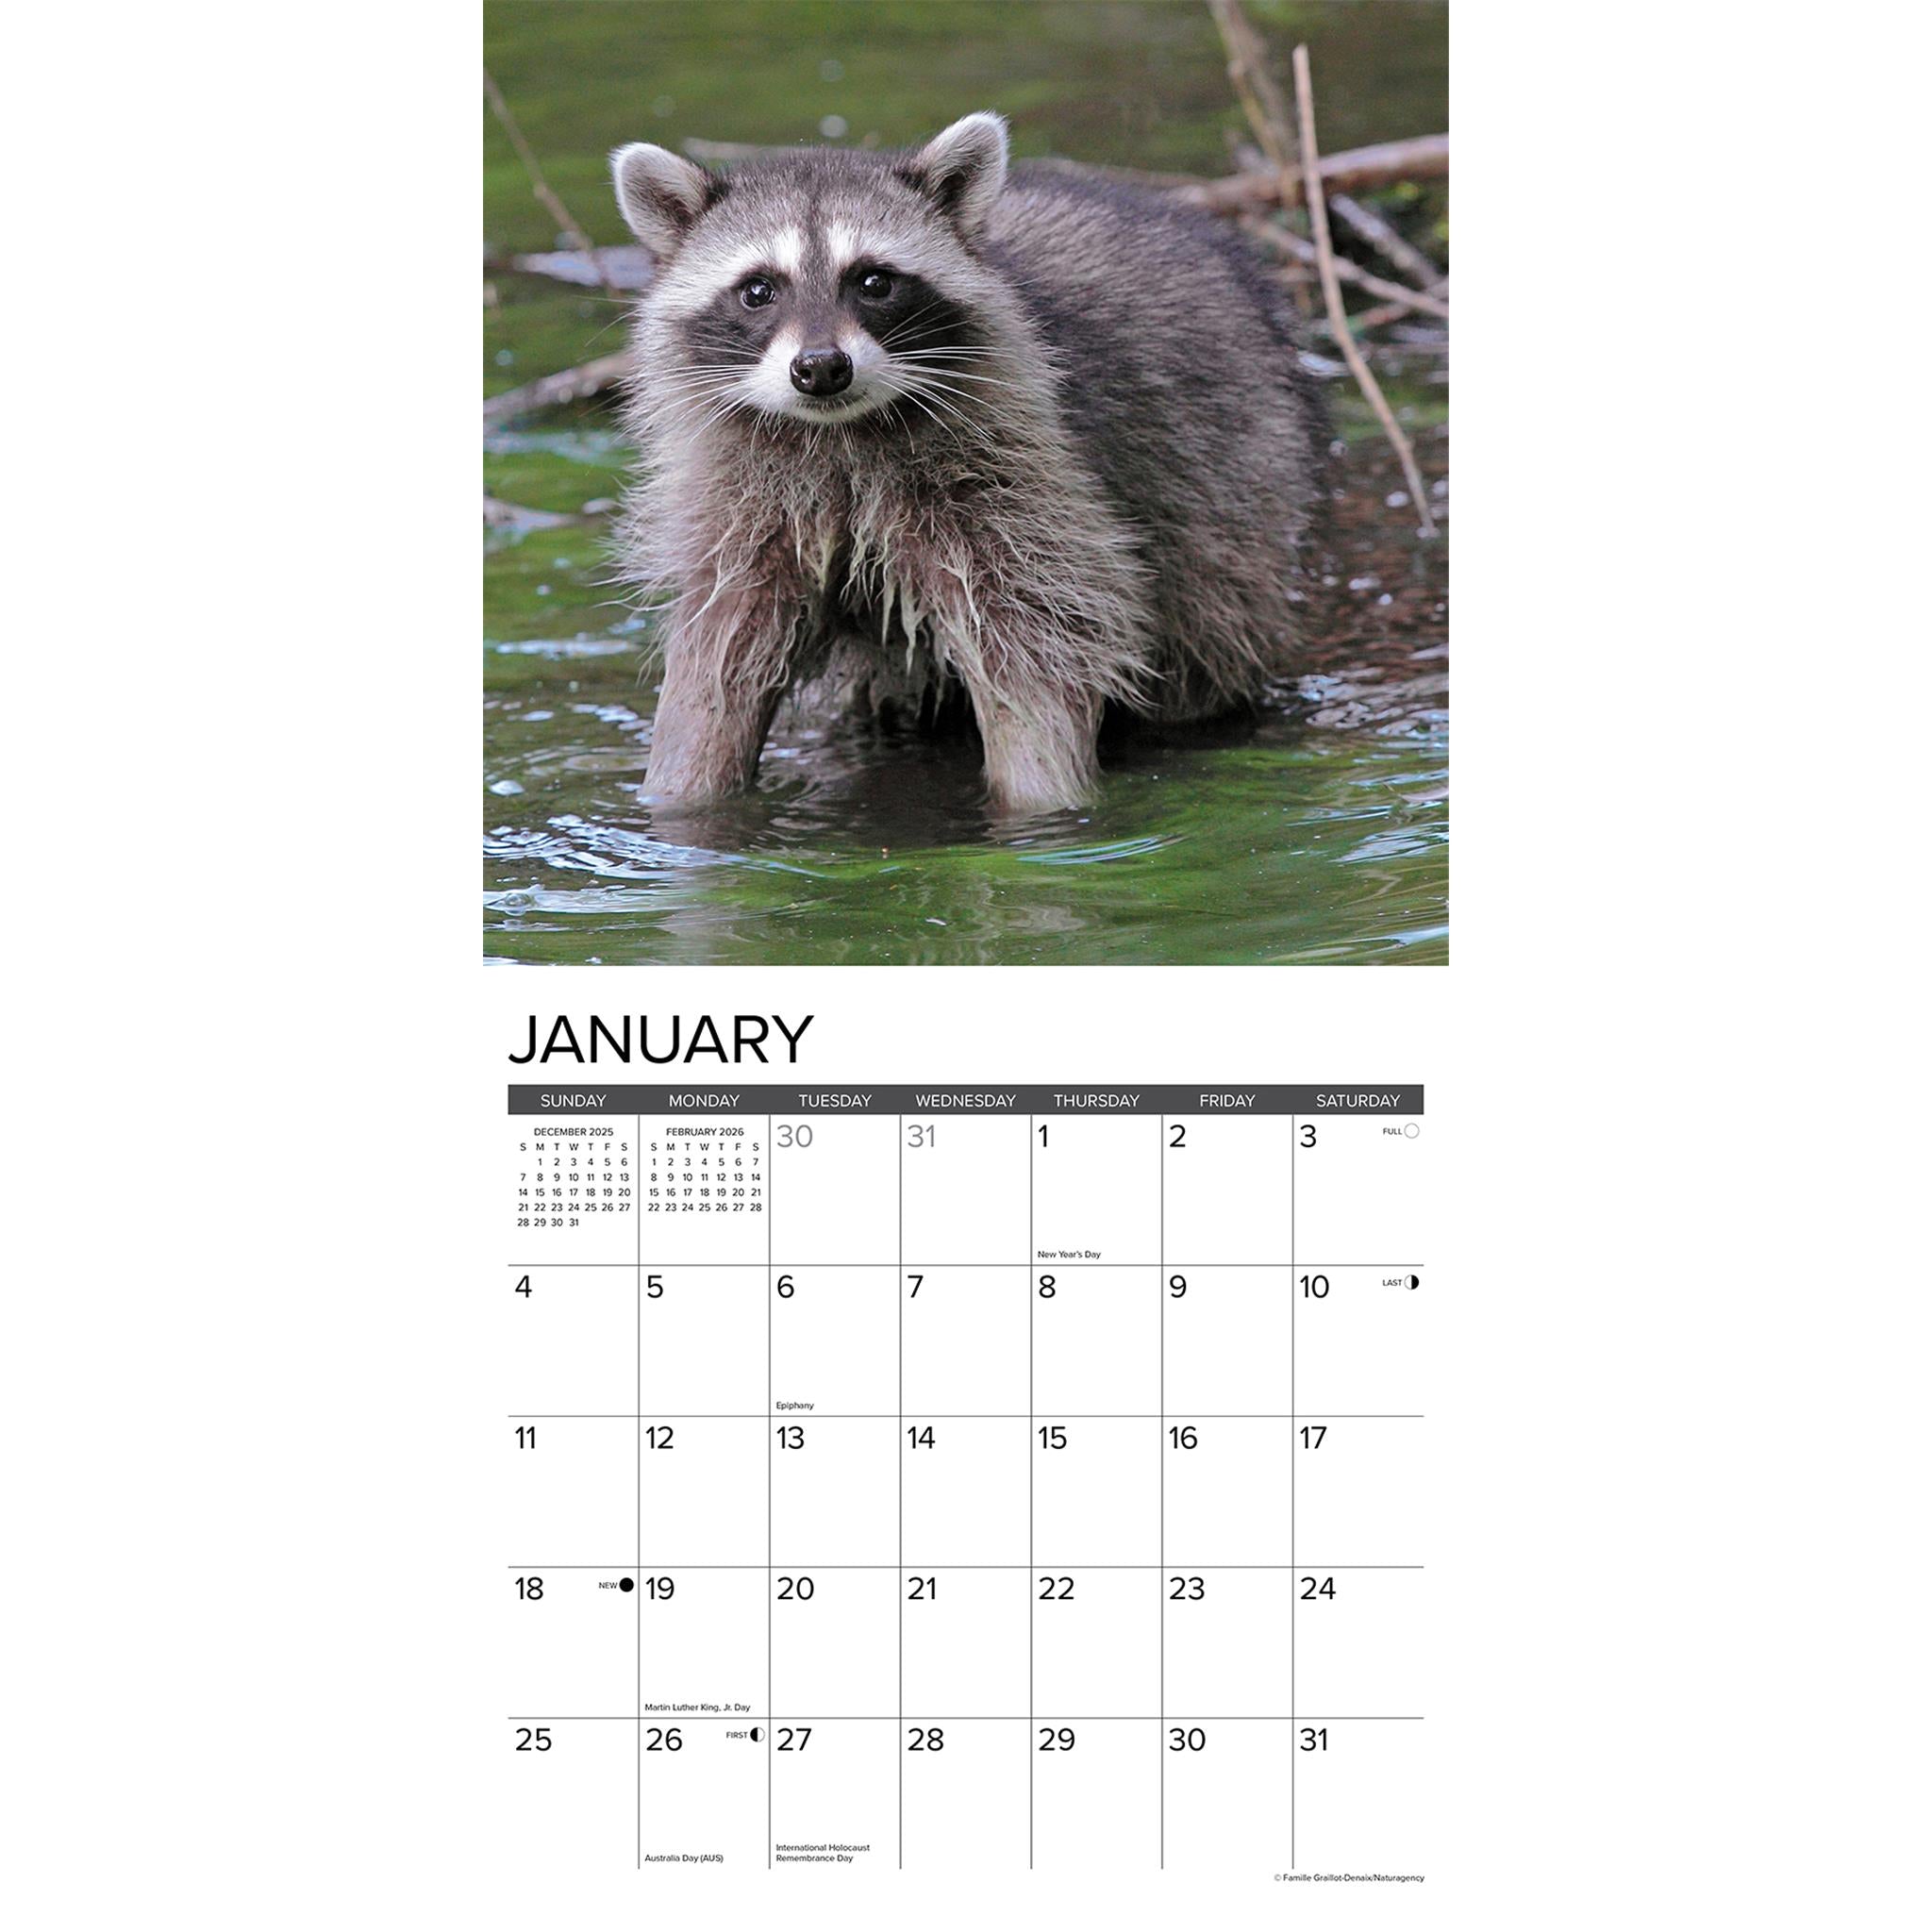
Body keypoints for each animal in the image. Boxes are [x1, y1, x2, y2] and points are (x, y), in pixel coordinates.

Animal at [609, 112, 1327, 814]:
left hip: (1234, 469)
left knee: (1210, 609)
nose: (821, 368)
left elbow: (1041, 637)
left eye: (873, 281)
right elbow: (720, 650)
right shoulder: (741, 510)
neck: (837, 437)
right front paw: (681, 792)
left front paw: (1044, 796)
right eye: (758, 290)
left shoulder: (1021, 476)